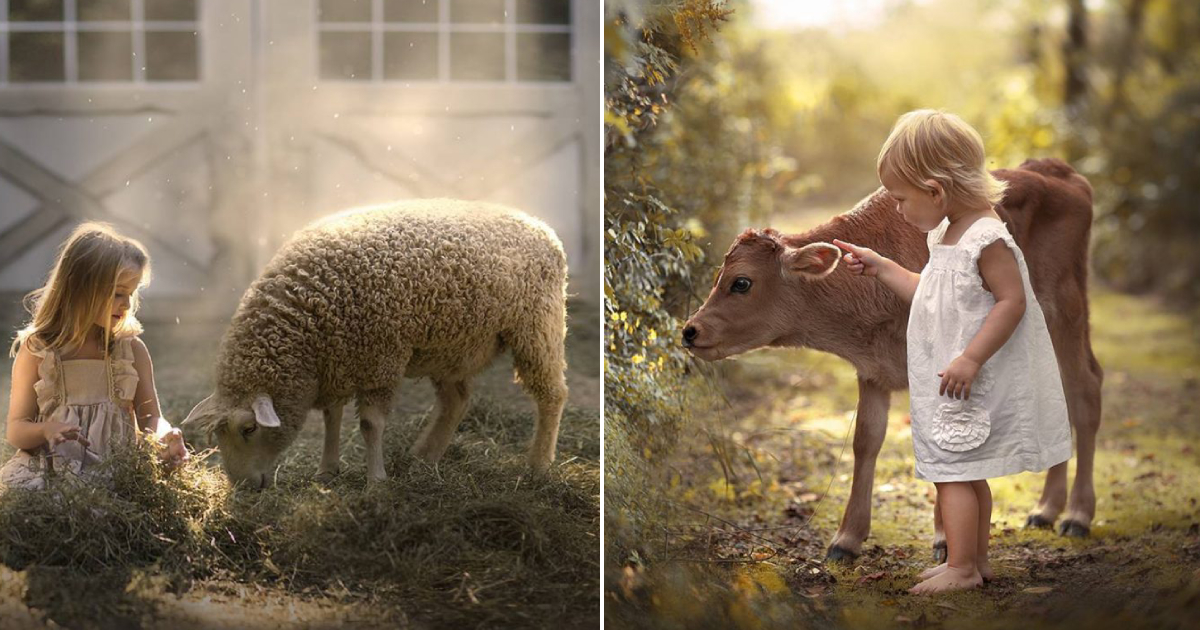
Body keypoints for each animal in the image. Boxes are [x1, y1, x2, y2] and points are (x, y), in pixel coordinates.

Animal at [181, 198, 566, 487]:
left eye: (249, 429)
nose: (243, 486)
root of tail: (541, 227)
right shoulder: (337, 361)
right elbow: (332, 417)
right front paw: (326, 471)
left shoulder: (381, 359)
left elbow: (369, 425)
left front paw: (375, 482)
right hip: (451, 346)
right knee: (456, 401)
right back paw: (423, 458)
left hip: (537, 328)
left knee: (551, 395)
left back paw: (538, 465)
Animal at [686, 158, 1104, 559]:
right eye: (718, 275)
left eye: (741, 282)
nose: (690, 330)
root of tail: (1057, 170)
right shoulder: (872, 370)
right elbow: (866, 440)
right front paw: (847, 538)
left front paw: (946, 538)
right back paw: (1045, 509)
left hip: (1065, 310)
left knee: (1084, 390)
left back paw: (1077, 515)